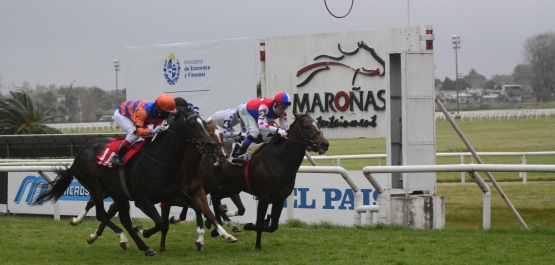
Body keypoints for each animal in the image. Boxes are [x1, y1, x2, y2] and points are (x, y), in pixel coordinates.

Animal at [30, 106, 217, 256]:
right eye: (192, 125)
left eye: (204, 123)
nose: (210, 145)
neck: (162, 159)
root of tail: (79, 155)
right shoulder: (142, 200)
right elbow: (160, 222)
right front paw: (143, 231)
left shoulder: (173, 192)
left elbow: (197, 206)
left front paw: (200, 240)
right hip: (95, 186)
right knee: (102, 215)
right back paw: (124, 239)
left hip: (118, 193)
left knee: (124, 219)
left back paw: (144, 247)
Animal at [210, 112, 330, 249]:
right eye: (307, 126)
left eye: (319, 125)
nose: (324, 144)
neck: (280, 161)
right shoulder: (264, 197)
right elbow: (260, 222)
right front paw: (257, 245)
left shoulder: (280, 198)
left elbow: (273, 226)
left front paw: (250, 225)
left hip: (232, 186)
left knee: (215, 197)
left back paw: (218, 229)